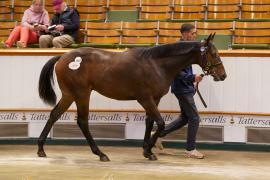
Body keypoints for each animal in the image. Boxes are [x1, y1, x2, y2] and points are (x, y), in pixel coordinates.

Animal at [37, 33, 226, 162]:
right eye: (214, 54)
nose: (223, 75)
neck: (156, 64)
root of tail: (63, 56)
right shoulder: (145, 98)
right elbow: (160, 123)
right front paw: (149, 150)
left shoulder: (154, 99)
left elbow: (150, 122)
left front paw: (147, 150)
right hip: (82, 94)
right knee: (82, 121)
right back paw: (101, 153)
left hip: (69, 95)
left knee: (54, 115)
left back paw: (41, 148)